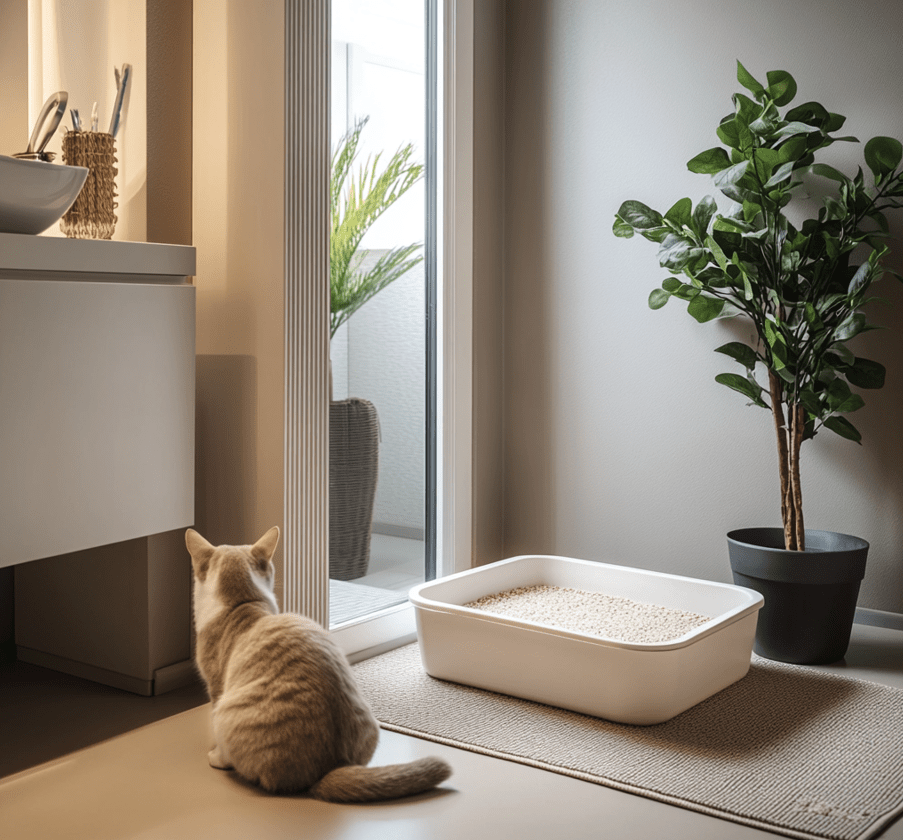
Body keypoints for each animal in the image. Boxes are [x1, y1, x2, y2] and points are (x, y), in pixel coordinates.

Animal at [187, 524, 452, 800]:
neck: (243, 603)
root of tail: (326, 770)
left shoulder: (216, 690)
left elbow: (217, 737)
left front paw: (216, 756)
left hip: (227, 711)